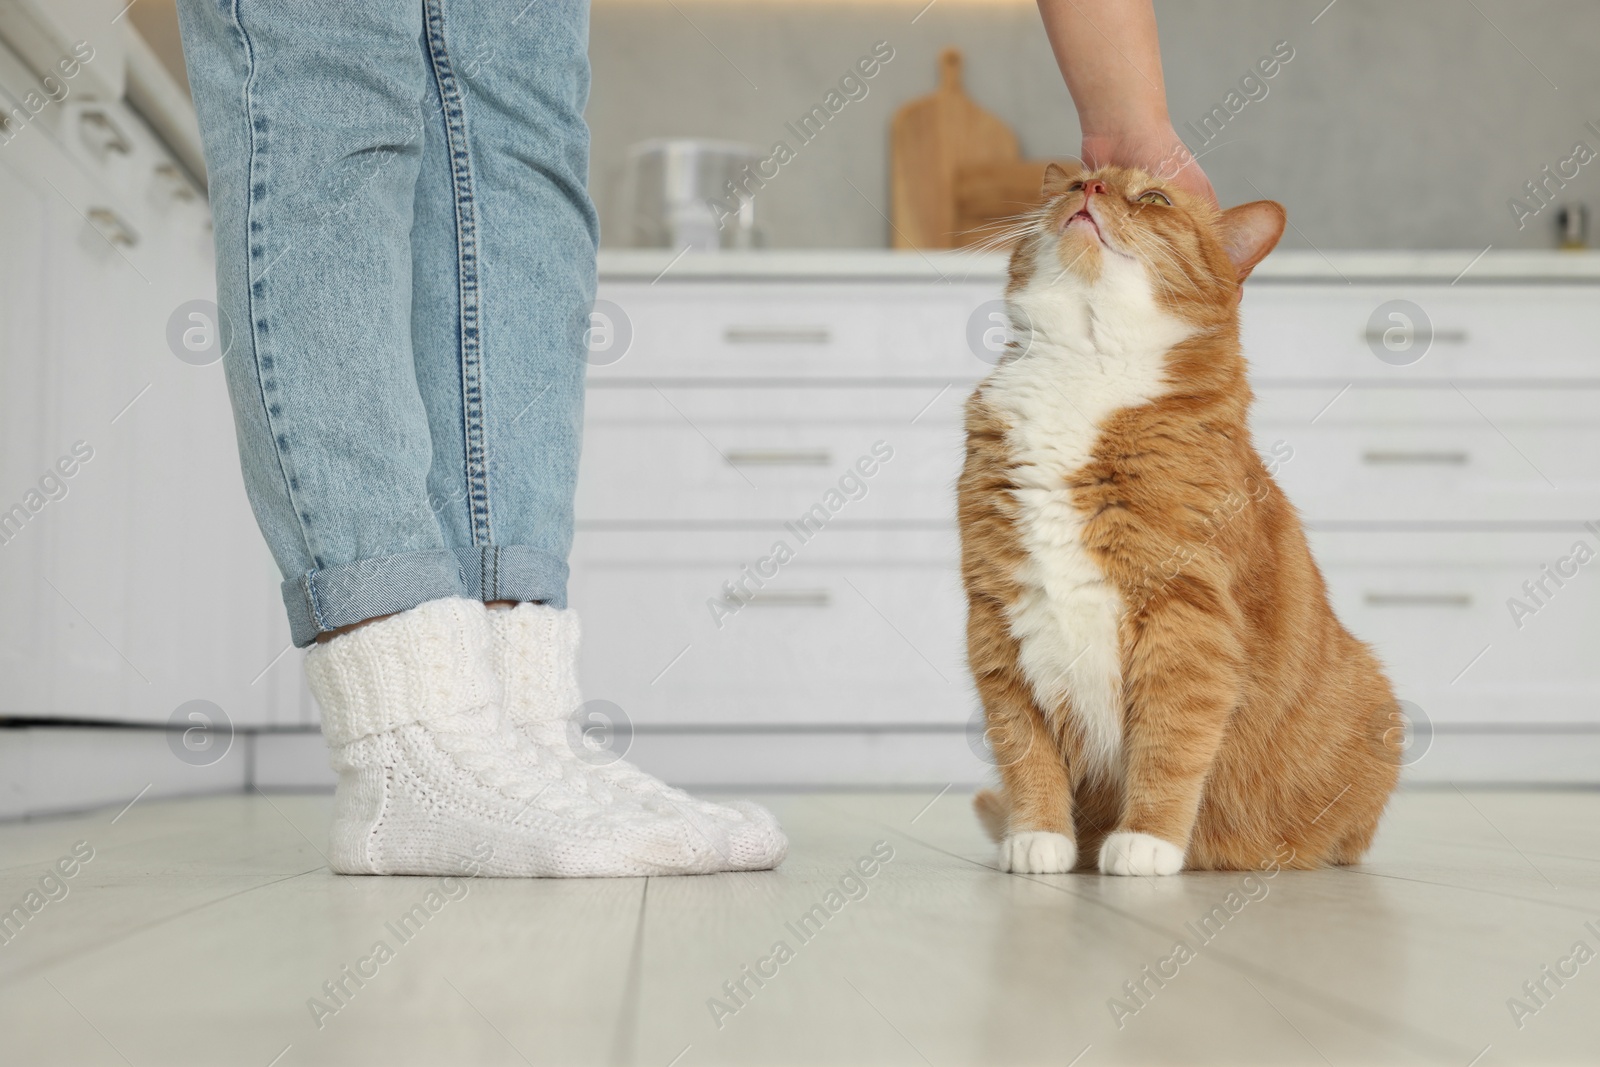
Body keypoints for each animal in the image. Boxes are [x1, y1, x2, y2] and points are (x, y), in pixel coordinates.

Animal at [960, 160, 1401, 876]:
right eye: (1076, 179)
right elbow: (1025, 749)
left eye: (1154, 197)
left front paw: (1148, 841)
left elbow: (1171, 744)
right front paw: (1038, 835)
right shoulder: (999, 615)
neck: (1085, 369)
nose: (1089, 190)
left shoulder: (1187, 618)